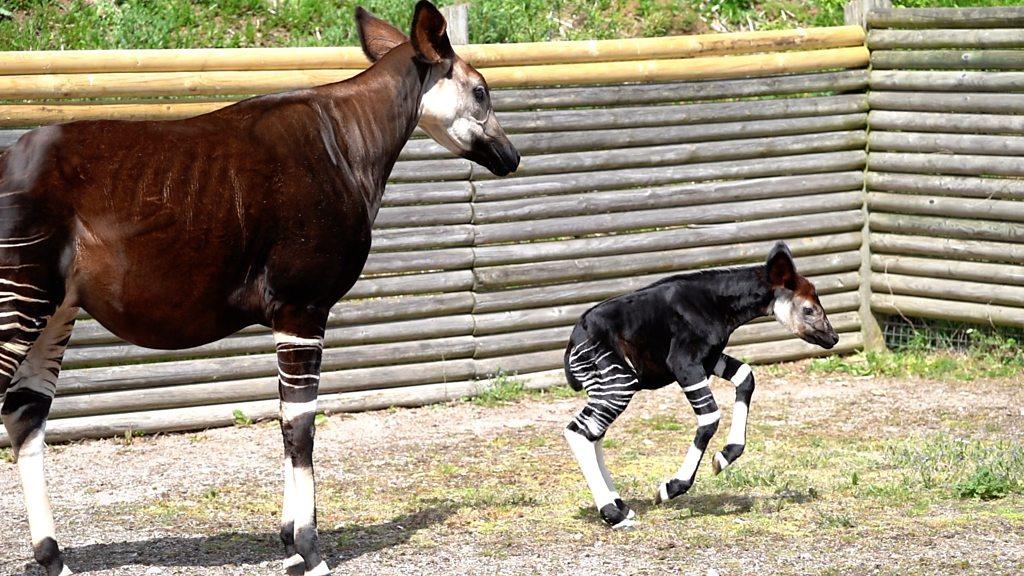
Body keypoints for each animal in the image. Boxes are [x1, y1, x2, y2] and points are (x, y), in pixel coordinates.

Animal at [565, 239, 835, 528]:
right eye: (809, 309)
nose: (834, 338)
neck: (718, 304)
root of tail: (572, 344)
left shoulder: (709, 359)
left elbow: (746, 376)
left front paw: (724, 457)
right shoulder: (684, 363)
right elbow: (709, 418)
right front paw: (670, 488)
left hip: (610, 385)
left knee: (594, 433)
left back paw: (620, 507)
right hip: (619, 382)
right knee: (579, 432)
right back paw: (613, 514)